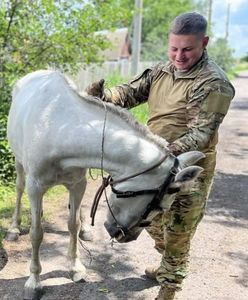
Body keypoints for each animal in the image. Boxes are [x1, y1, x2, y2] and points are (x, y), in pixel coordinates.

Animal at [6, 69, 204, 298]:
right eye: (159, 206)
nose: (126, 237)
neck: (61, 128)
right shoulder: (35, 187)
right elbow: (36, 233)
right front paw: (34, 282)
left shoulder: (78, 184)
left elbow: (73, 224)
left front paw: (75, 267)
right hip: (19, 164)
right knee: (19, 188)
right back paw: (13, 228)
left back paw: (85, 230)